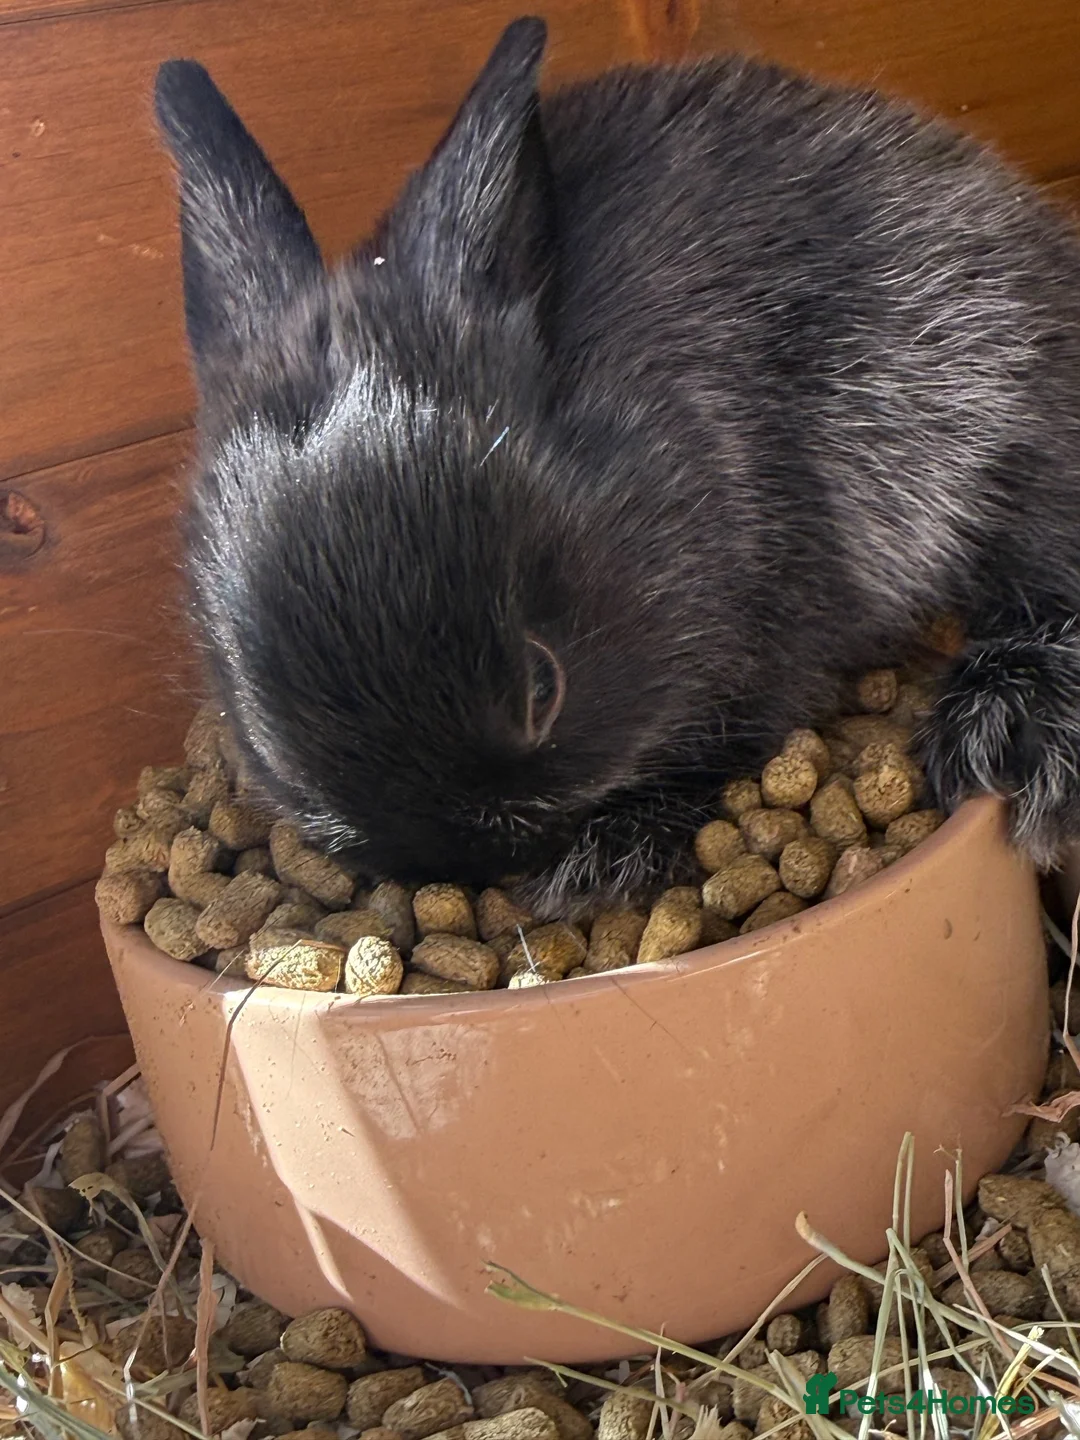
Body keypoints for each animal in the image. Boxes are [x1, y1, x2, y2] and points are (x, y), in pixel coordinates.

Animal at [153, 16, 1080, 917]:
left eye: (544, 687)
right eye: (261, 732)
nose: (478, 864)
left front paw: (603, 861)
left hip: (1007, 420)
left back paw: (1014, 729)